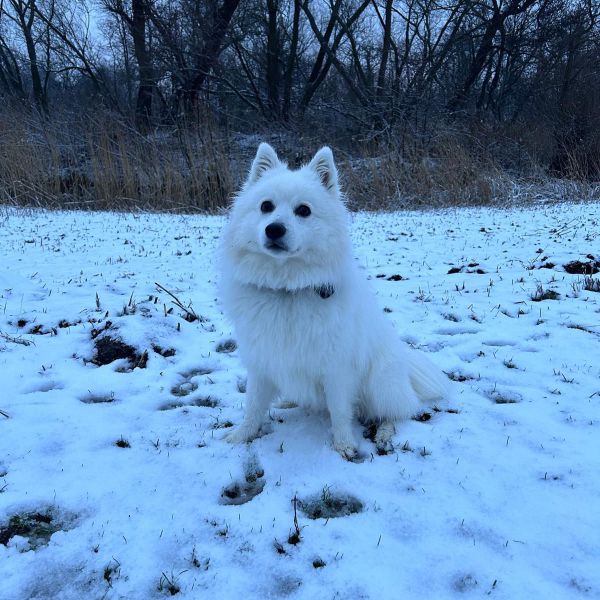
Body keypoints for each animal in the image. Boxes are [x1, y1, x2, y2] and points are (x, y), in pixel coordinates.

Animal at [218, 144, 448, 460]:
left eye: (303, 210)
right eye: (266, 206)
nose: (274, 229)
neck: (287, 288)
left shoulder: (337, 367)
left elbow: (339, 411)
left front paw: (345, 445)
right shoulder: (263, 360)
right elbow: (253, 406)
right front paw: (241, 436)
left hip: (380, 382)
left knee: (393, 414)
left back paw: (383, 434)